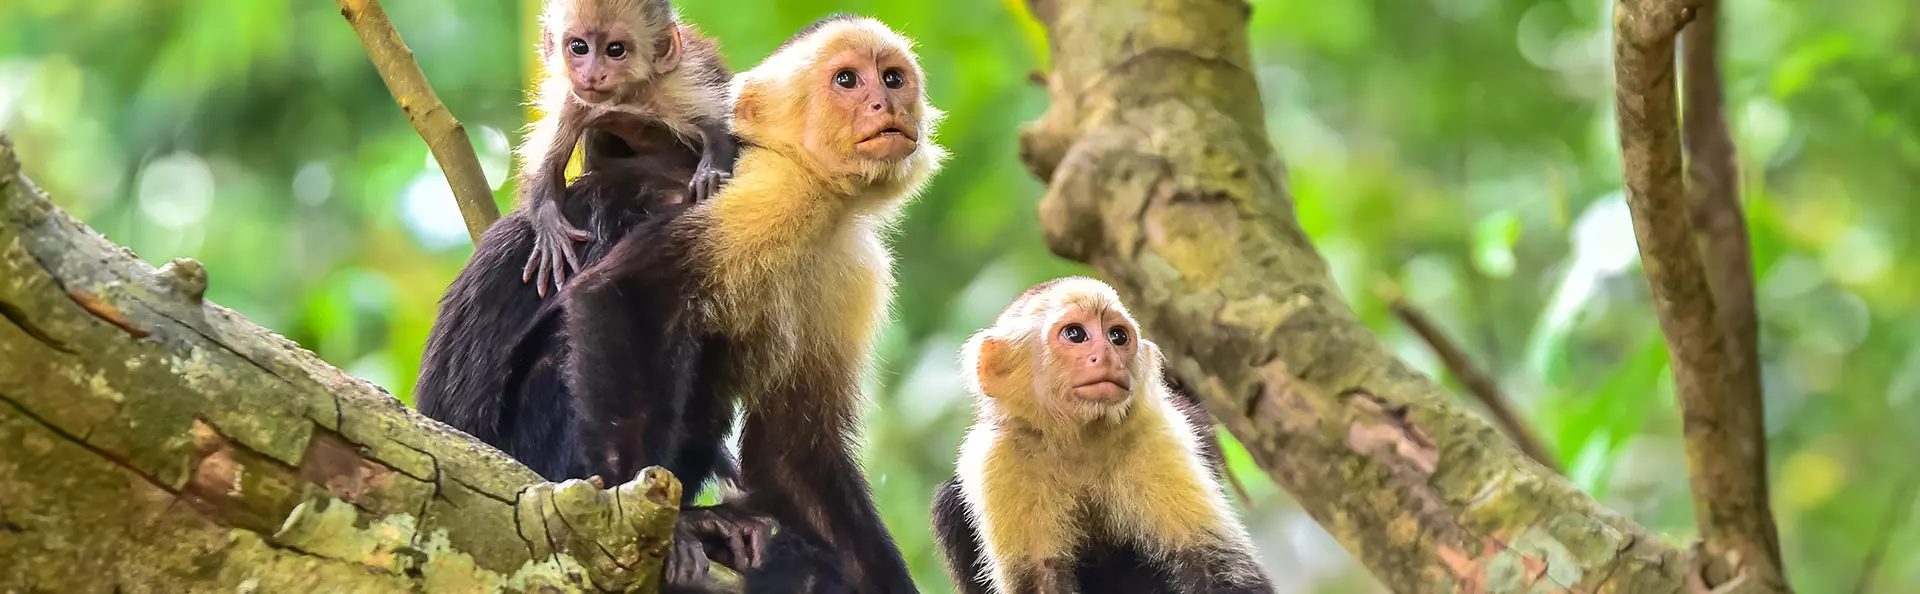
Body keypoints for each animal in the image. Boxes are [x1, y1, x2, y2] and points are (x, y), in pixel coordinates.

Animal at [516, 0, 738, 298]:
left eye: (615, 50)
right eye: (579, 47)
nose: (592, 74)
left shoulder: (676, 82)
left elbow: (718, 123)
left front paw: (710, 173)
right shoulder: (572, 100)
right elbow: (549, 163)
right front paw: (550, 228)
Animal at [929, 277, 1277, 594]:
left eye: (1118, 336)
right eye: (1075, 334)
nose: (1107, 356)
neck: (1079, 442)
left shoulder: (1156, 433)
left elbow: (1218, 568)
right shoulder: (999, 459)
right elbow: (1040, 579)